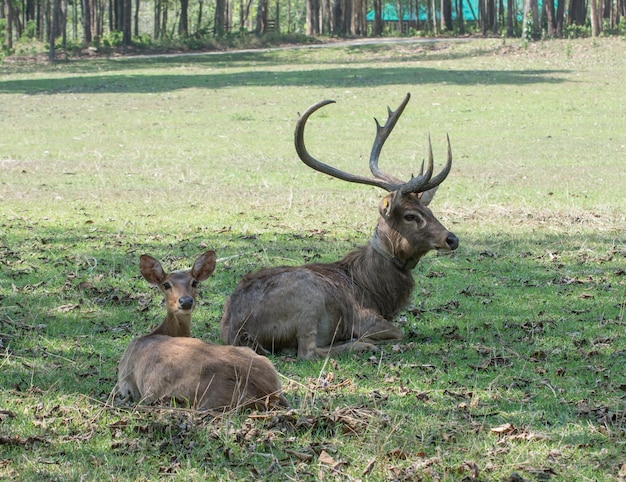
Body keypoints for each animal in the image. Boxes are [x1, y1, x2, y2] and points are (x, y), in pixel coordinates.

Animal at [219, 93, 458, 362]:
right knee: (307, 352)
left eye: (430, 211)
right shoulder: (365, 318)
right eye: (410, 216)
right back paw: (360, 345)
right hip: (308, 300)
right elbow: (398, 332)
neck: (376, 292)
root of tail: (239, 331)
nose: (452, 239)